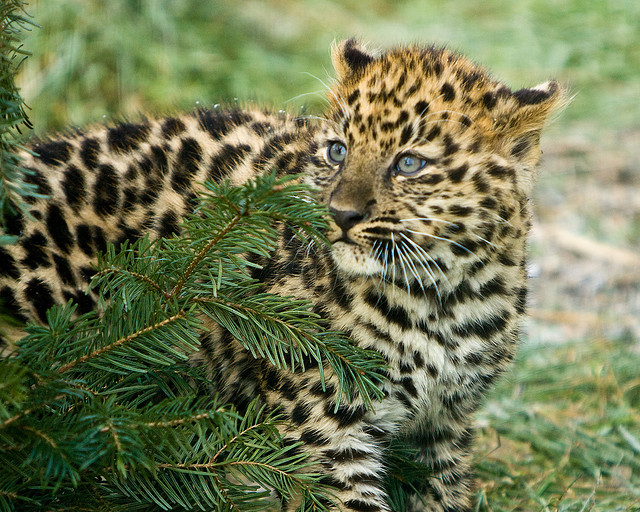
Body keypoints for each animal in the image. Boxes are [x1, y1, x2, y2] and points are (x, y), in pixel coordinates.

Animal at [0, 40, 566, 511]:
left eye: (409, 164)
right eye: (338, 151)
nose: (340, 214)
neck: (444, 298)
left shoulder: (445, 426)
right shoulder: (325, 431)